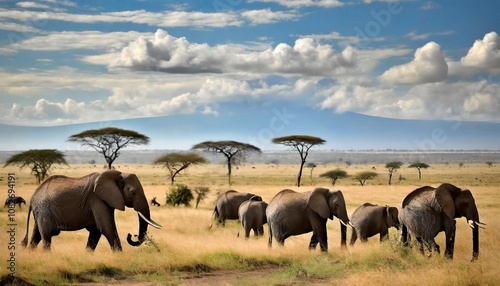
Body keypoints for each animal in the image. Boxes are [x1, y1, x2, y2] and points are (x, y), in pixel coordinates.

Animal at [20, 170, 161, 250]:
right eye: (133, 192)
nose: (131, 235)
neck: (116, 175)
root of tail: (32, 198)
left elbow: (96, 231)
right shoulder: (97, 199)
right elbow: (106, 229)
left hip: (41, 211)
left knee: (36, 236)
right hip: (44, 209)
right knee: (46, 236)